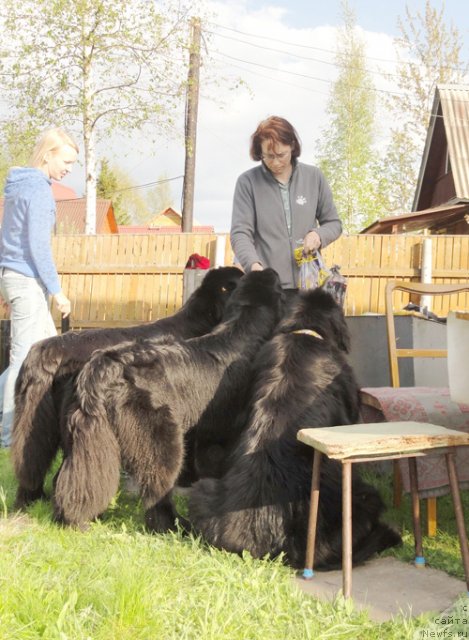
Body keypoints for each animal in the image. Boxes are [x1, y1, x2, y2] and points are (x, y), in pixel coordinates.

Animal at [51, 268, 286, 528]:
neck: (240, 329)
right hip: (162, 440)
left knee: (74, 476)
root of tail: (103, 367)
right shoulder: (219, 432)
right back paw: (172, 524)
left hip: (88, 436)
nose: (270, 270)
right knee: (157, 491)